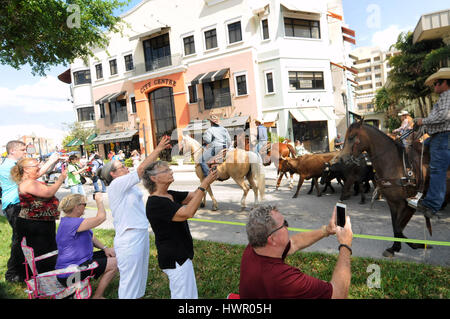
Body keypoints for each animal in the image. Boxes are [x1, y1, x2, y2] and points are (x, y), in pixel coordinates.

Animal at [342, 120, 450, 258]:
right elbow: (396, 226)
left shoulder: (409, 206)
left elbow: (399, 228)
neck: (395, 164)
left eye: (351, 137)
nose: (342, 158)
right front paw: (395, 247)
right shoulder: (393, 203)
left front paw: (419, 245)